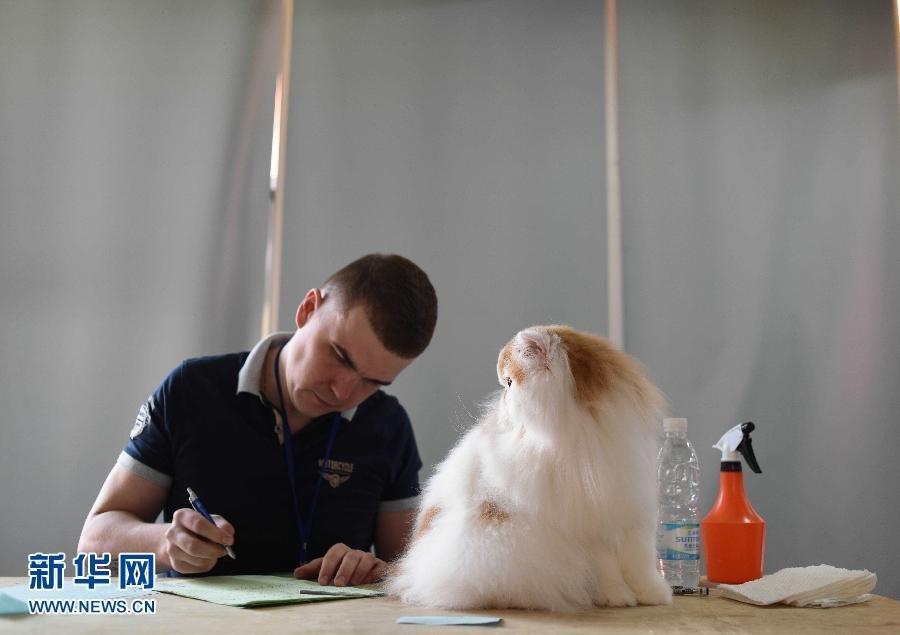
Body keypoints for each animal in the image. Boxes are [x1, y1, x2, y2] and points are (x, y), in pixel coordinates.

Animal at [388, 326, 676, 612]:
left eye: (509, 382)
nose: (503, 398)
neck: (585, 428)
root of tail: (410, 570)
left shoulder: (631, 510)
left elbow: (640, 563)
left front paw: (653, 594)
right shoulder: (586, 526)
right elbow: (607, 568)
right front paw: (617, 596)